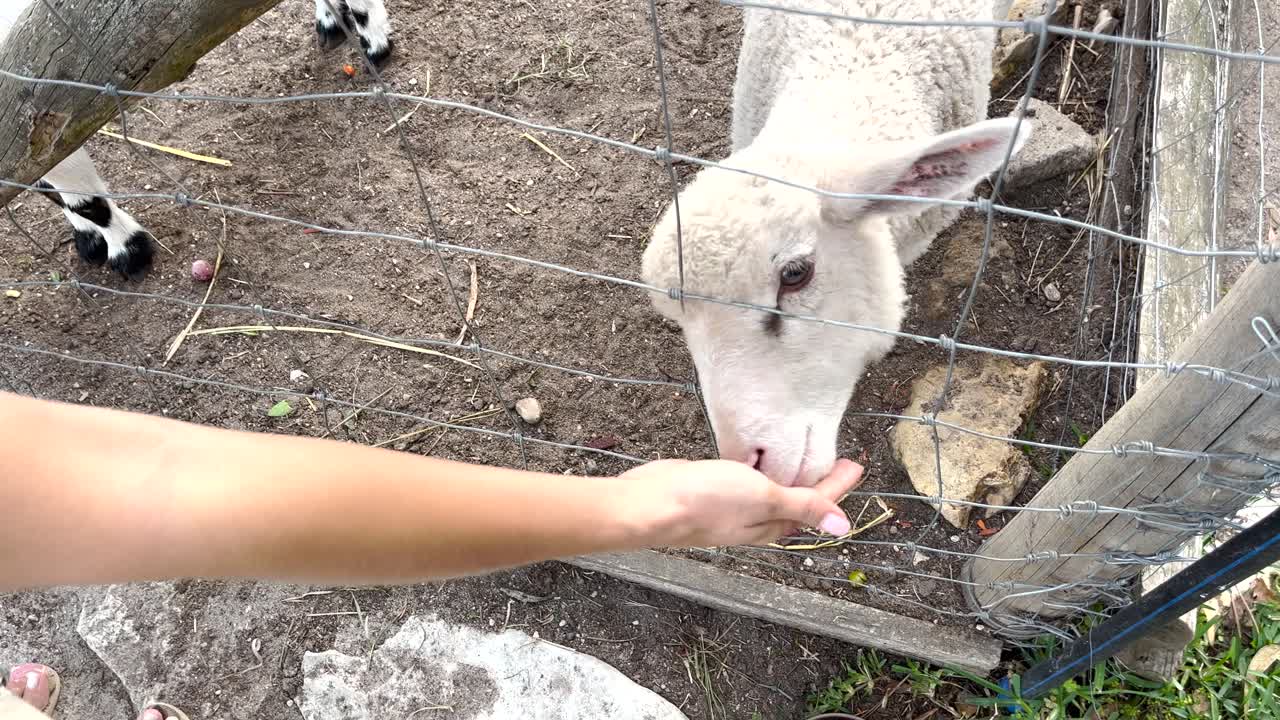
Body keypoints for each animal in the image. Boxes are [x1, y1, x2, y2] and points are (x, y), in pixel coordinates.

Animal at [0, 0, 394, 279]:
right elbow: (42, 179)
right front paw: (90, 240)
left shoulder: (41, 99)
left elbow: (80, 197)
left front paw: (131, 253)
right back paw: (333, 23)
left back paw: (373, 42)